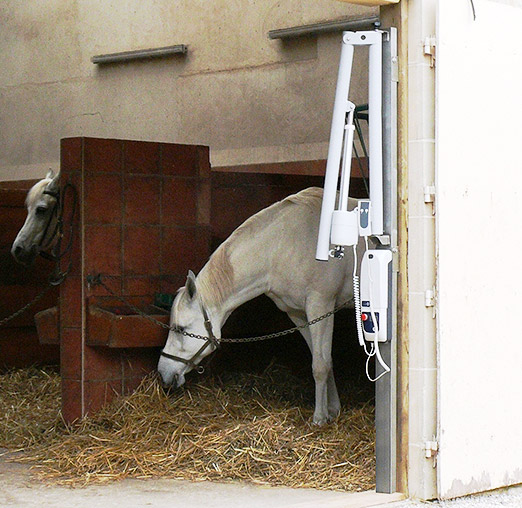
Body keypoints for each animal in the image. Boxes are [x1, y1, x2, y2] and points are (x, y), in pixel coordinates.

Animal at [158, 187, 362, 424]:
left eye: (181, 329)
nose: (163, 373)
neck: (283, 245)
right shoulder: (299, 314)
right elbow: (322, 358)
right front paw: (333, 409)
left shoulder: (321, 306)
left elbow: (320, 365)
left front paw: (319, 418)